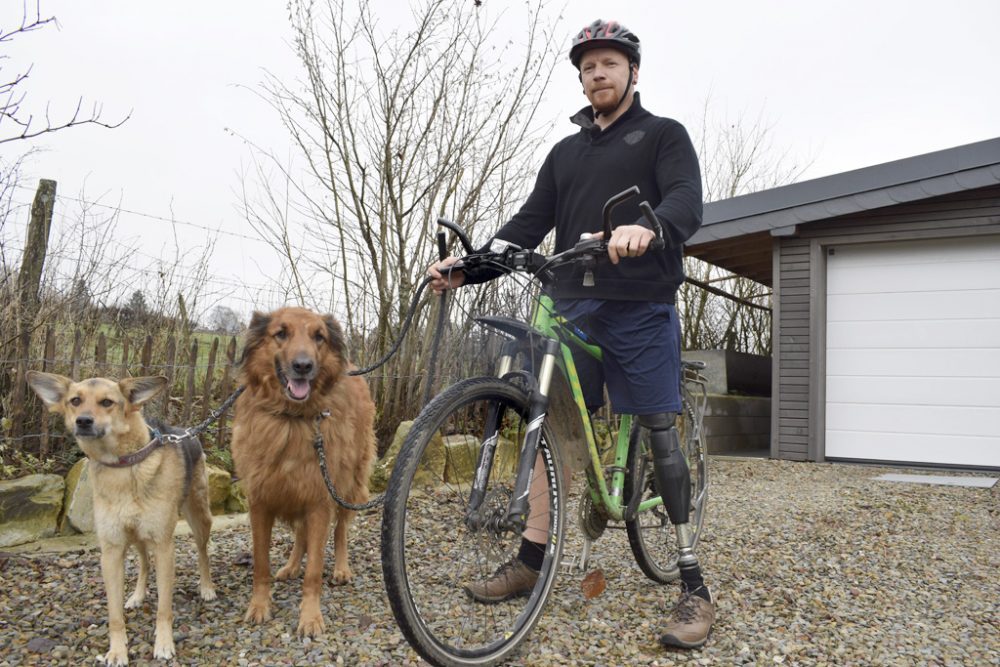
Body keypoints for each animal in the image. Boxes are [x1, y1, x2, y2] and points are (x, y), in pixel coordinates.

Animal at [25, 374, 215, 664]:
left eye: (107, 402)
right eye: (75, 401)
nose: (83, 421)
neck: (125, 465)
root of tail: (184, 430)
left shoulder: (164, 546)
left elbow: (164, 608)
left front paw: (163, 644)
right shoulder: (112, 550)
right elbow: (114, 614)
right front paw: (116, 651)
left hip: (198, 517)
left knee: (203, 553)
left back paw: (206, 588)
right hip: (135, 536)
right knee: (144, 562)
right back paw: (137, 595)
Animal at [232, 306, 376, 640]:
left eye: (318, 336)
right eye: (281, 333)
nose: (303, 366)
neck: (291, 419)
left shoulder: (320, 500)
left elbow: (314, 571)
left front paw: (310, 618)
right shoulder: (261, 501)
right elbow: (261, 563)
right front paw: (259, 606)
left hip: (349, 483)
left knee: (340, 530)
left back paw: (341, 568)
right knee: (300, 533)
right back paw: (292, 564)